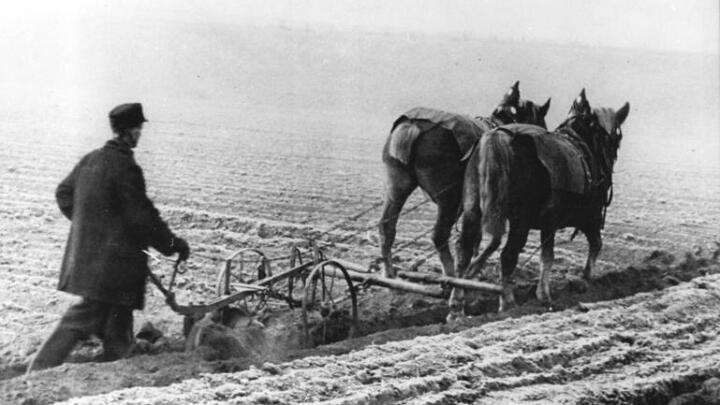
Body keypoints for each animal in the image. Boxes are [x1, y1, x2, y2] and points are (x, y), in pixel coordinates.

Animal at [376, 81, 552, 280]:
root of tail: (413, 126)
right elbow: (484, 239)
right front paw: (475, 269)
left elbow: (478, 238)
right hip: (449, 200)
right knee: (439, 235)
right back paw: (450, 274)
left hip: (397, 187)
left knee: (386, 226)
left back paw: (389, 272)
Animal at [452, 89, 628, 316]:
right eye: (618, 136)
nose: (610, 161)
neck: (584, 144)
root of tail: (497, 137)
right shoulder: (587, 217)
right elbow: (590, 245)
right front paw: (579, 283)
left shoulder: (549, 223)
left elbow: (547, 256)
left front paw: (545, 293)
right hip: (520, 221)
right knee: (507, 256)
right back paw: (507, 303)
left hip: (472, 209)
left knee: (463, 251)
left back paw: (456, 305)